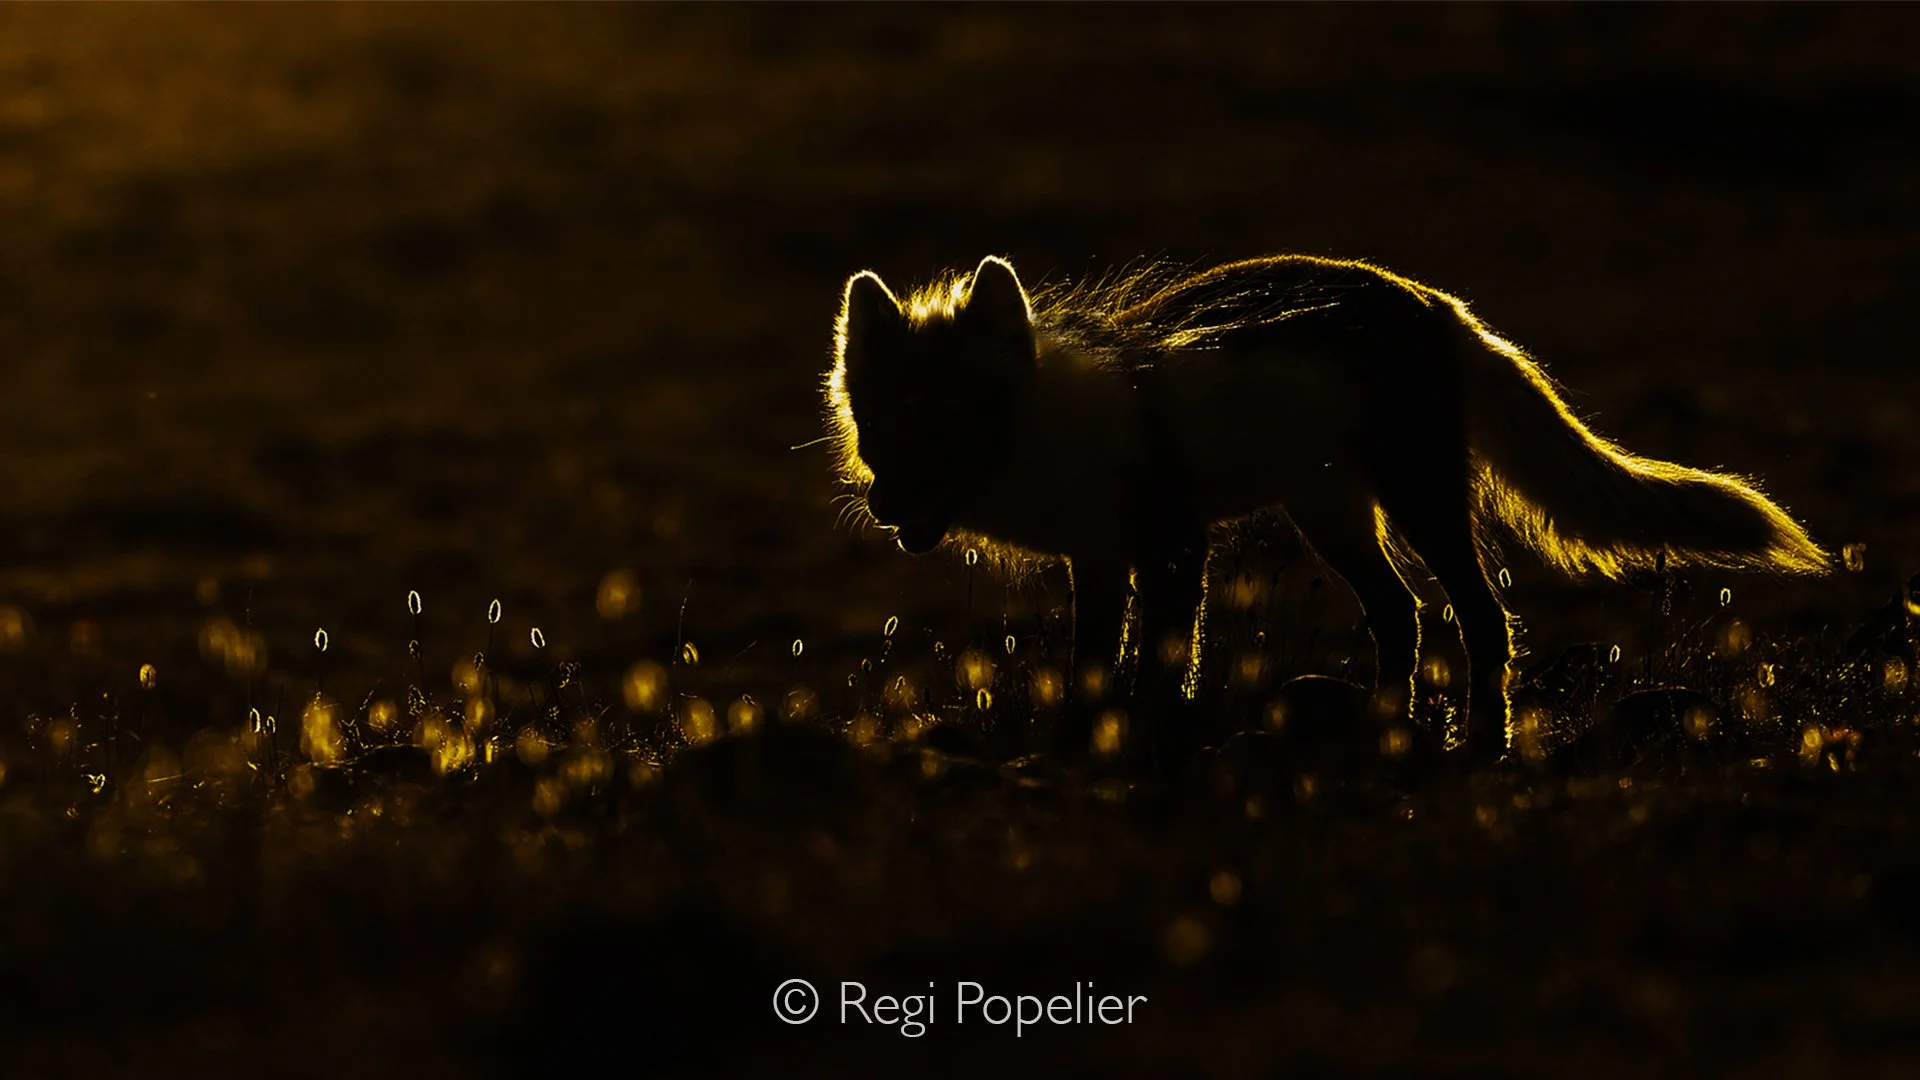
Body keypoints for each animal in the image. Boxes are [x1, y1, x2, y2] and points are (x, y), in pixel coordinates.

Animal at [822, 253, 1831, 766]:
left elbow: (1160, 665)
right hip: (1334, 518)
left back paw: (1481, 743)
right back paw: (1387, 731)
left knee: (1482, 621)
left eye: (949, 425)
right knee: (1404, 617)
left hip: (1418, 504)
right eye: (881, 428)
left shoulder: (1174, 548)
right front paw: (1083, 741)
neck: (1054, 427)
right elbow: (1093, 667)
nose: (888, 507)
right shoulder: (1102, 561)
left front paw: (1146, 741)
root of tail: (1445, 308)